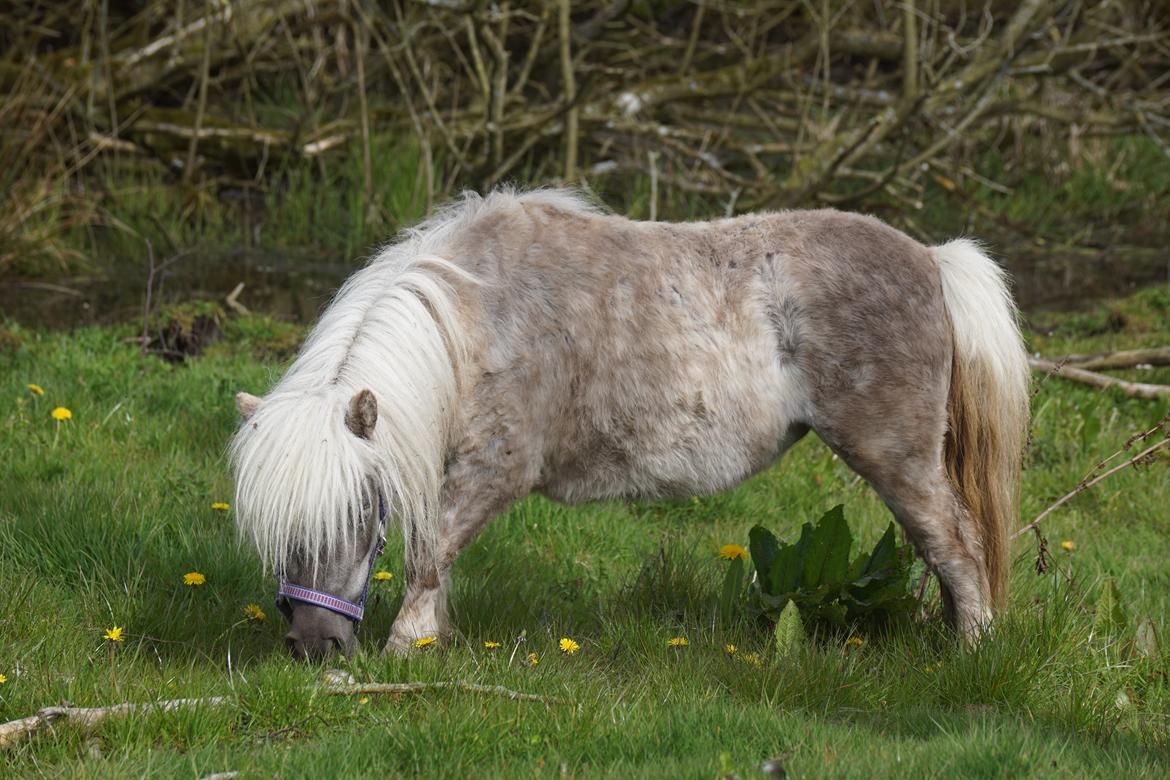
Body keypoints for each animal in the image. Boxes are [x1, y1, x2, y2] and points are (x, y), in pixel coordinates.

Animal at [232, 189, 1029, 659]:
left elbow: (432, 554)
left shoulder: (491, 470)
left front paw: (406, 650)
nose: (313, 647)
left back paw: (971, 655)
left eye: (361, 511)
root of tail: (931, 258)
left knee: (958, 550)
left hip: (897, 458)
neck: (475, 318)